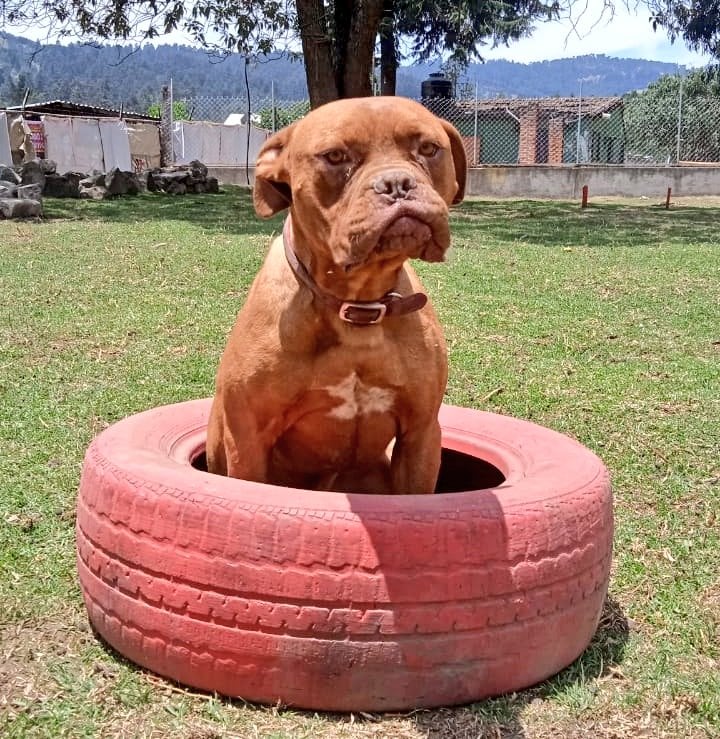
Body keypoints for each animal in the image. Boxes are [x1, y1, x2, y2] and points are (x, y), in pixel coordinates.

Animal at [208, 95, 466, 494]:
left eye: (428, 149)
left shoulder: (420, 435)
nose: (396, 183)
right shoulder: (248, 440)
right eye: (335, 156)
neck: (355, 302)